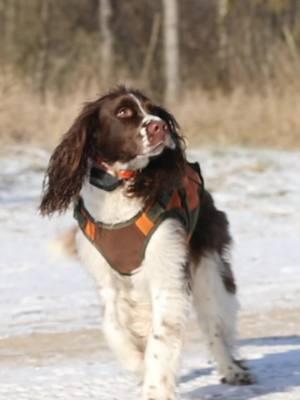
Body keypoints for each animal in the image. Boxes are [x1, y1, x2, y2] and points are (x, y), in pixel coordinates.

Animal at [38, 86, 252, 400]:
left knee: (216, 324)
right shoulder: (108, 282)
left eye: (154, 110)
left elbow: (161, 338)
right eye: (124, 112)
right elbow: (113, 326)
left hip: (208, 267)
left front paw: (155, 389)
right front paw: (137, 363)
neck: (119, 191)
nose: (159, 126)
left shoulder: (167, 273)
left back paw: (232, 370)